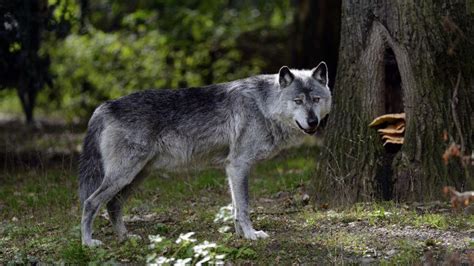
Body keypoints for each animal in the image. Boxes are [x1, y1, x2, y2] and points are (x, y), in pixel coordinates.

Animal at [78, 61, 332, 246]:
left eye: (316, 99)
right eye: (297, 101)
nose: (313, 122)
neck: (263, 106)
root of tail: (104, 106)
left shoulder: (232, 169)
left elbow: (236, 207)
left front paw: (240, 235)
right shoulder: (239, 165)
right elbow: (244, 206)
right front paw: (251, 235)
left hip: (136, 176)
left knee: (113, 205)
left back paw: (124, 237)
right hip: (124, 175)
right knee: (91, 203)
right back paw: (88, 243)